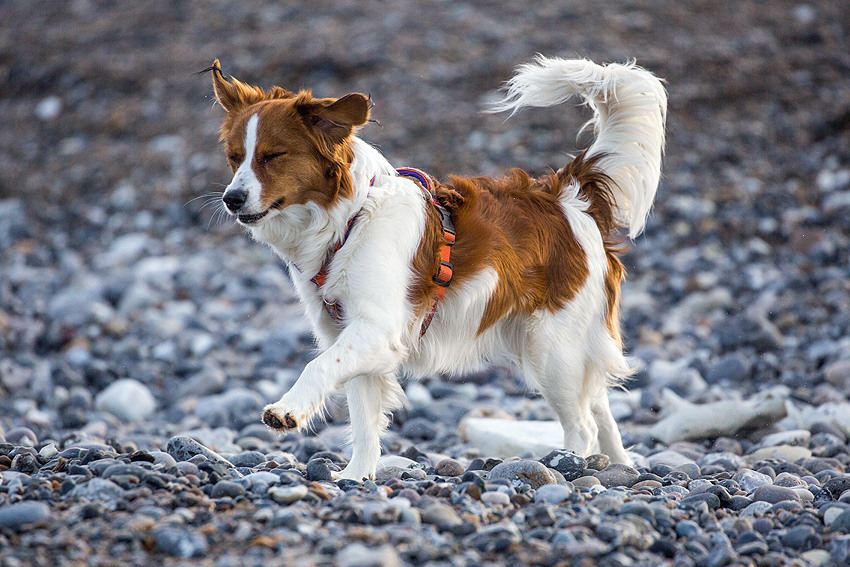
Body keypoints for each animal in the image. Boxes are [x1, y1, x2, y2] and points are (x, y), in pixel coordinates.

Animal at [204, 56, 664, 480]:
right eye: (233, 158)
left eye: (273, 156)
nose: (231, 199)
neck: (351, 219)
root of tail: (568, 196)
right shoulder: (348, 332)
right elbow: (363, 420)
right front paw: (356, 477)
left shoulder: (378, 329)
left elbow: (317, 367)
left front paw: (287, 410)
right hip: (570, 344)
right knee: (600, 405)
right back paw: (618, 465)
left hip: (551, 348)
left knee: (583, 423)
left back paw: (564, 464)